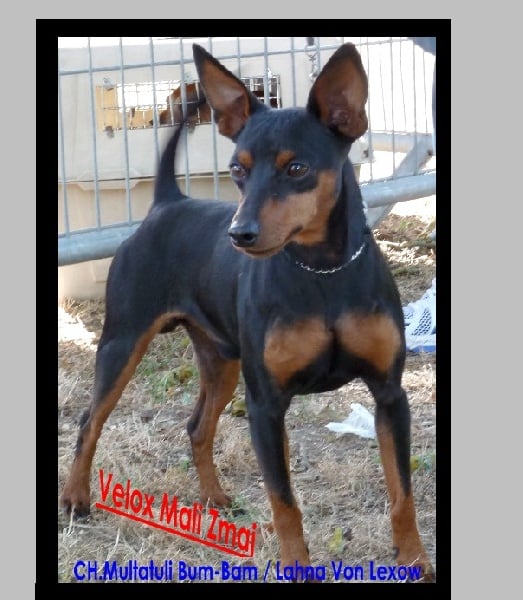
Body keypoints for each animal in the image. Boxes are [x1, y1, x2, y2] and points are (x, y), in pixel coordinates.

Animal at [61, 42, 434, 582]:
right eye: (236, 169)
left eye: (296, 169)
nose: (240, 234)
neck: (322, 274)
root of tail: (166, 204)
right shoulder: (265, 405)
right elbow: (284, 502)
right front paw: (297, 567)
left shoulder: (390, 395)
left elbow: (401, 492)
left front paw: (414, 561)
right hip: (122, 343)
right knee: (90, 420)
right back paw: (75, 497)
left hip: (222, 361)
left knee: (197, 426)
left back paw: (215, 498)